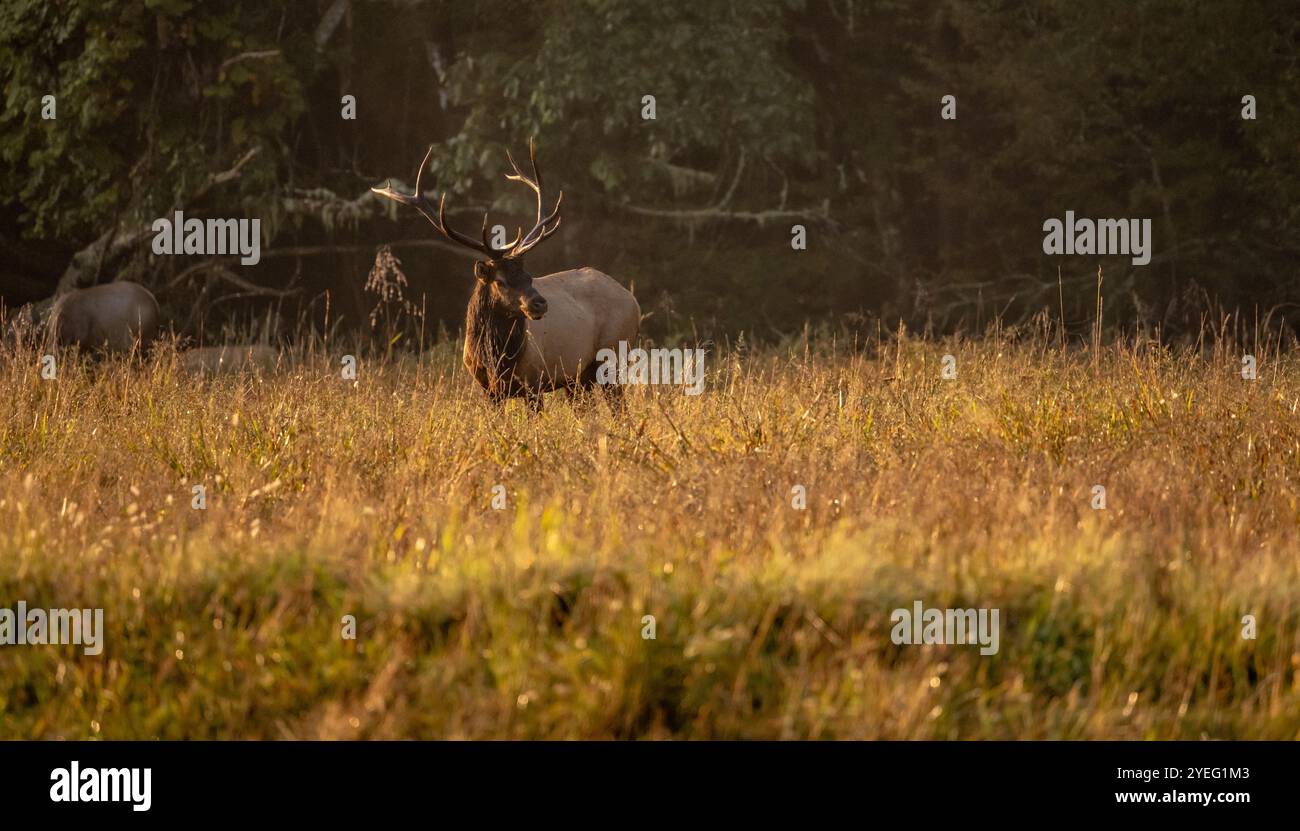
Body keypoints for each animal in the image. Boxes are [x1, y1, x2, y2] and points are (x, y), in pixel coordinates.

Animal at [372, 140, 639, 411]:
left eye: (529, 276)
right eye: (500, 281)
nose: (540, 303)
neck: (496, 361)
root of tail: (633, 301)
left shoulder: (534, 382)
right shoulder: (489, 391)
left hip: (612, 356)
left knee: (620, 409)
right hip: (577, 379)